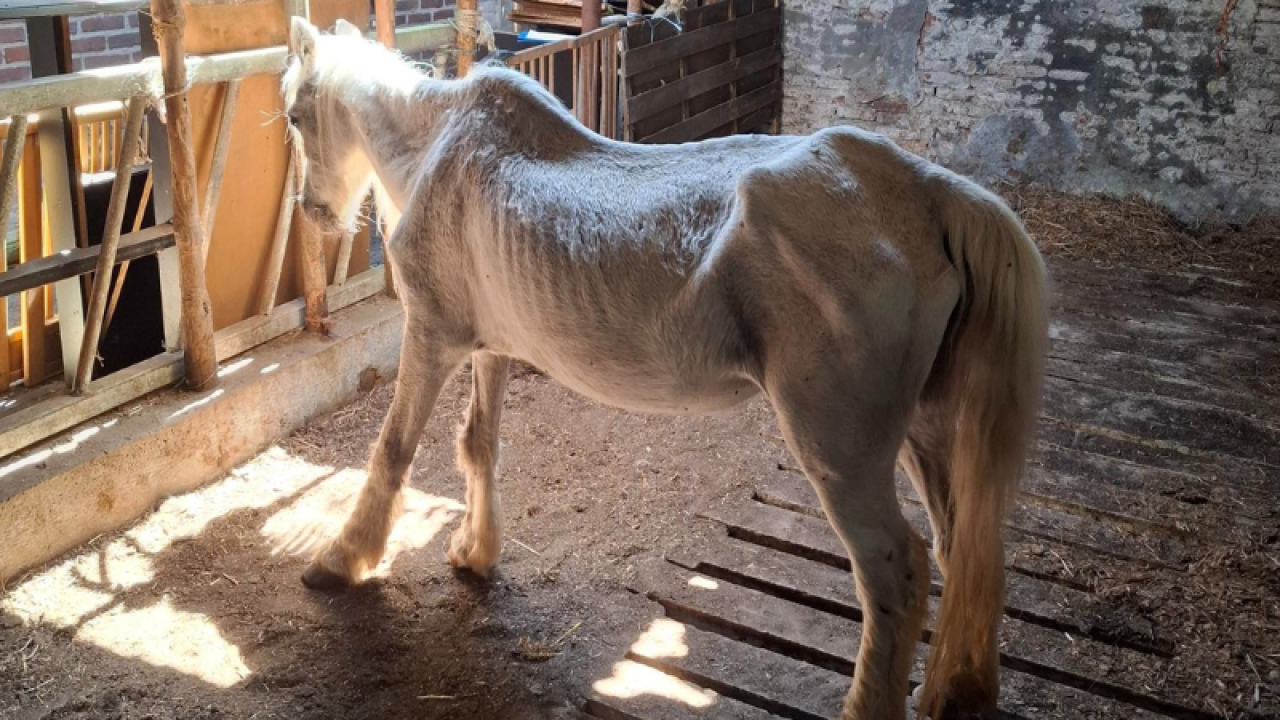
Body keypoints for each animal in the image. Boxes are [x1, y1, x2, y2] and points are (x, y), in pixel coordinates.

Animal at [280, 17, 1049, 720]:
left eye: (294, 114)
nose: (313, 211)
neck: (439, 147)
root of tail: (926, 194)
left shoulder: (433, 336)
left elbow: (393, 451)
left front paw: (340, 560)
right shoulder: (488, 346)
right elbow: (479, 445)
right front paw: (474, 552)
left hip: (841, 448)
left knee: (897, 571)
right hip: (925, 430)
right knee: (962, 547)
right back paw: (954, 691)